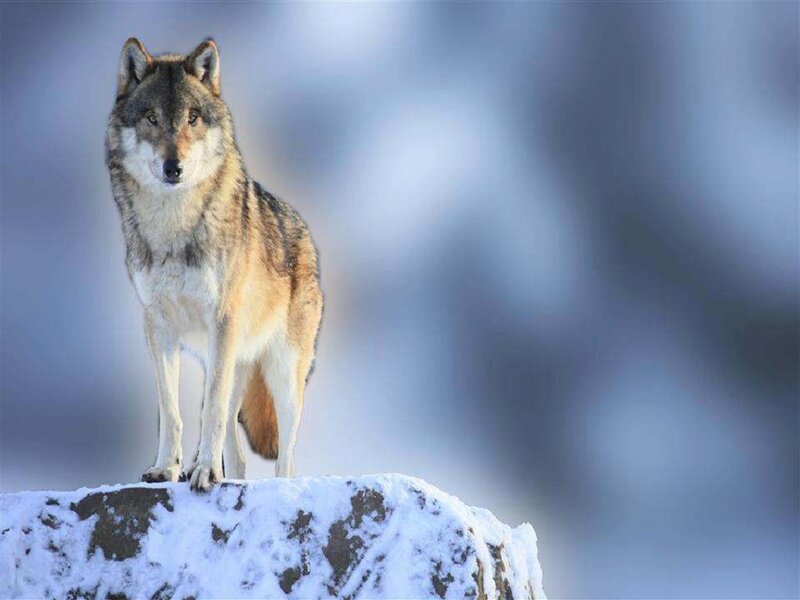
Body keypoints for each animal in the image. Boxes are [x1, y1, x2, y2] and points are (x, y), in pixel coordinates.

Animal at [105, 38, 323, 491]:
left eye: (192, 118)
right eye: (152, 118)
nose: (174, 167)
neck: (173, 227)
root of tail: (304, 229)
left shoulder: (222, 321)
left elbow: (212, 413)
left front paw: (204, 471)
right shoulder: (157, 326)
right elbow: (171, 412)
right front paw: (166, 469)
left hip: (282, 374)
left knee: (286, 455)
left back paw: (272, 485)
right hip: (222, 360)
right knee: (237, 454)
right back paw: (228, 479)